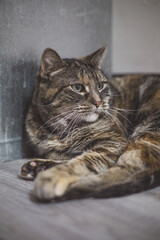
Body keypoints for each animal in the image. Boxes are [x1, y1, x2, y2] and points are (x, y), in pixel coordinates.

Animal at [19, 46, 160, 201]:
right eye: (77, 87)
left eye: (100, 86)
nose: (98, 102)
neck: (60, 130)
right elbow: (62, 155)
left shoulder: (113, 142)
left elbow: (83, 161)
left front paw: (53, 176)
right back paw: (37, 167)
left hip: (147, 130)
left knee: (133, 171)